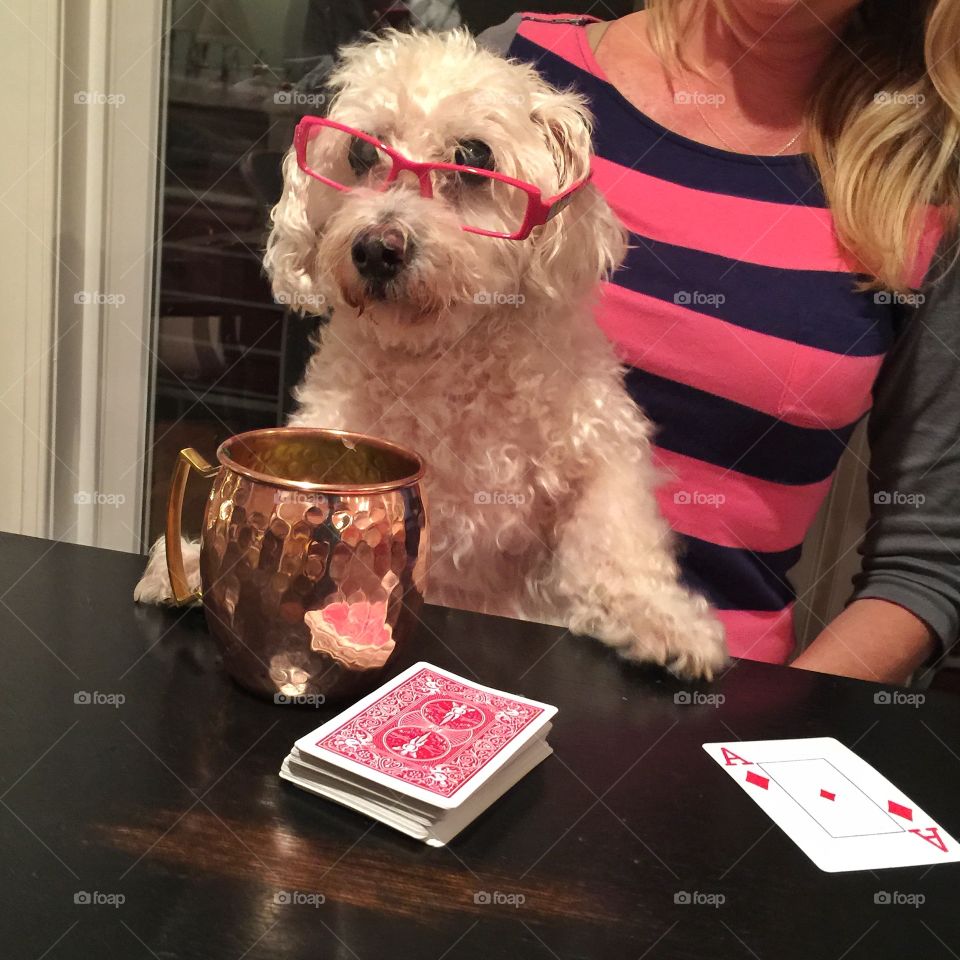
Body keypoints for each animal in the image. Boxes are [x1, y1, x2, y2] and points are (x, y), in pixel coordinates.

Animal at [137, 30, 728, 684]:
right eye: (362, 154)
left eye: (473, 156)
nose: (375, 249)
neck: (445, 356)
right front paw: (192, 562)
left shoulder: (600, 451)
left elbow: (616, 541)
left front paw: (664, 619)